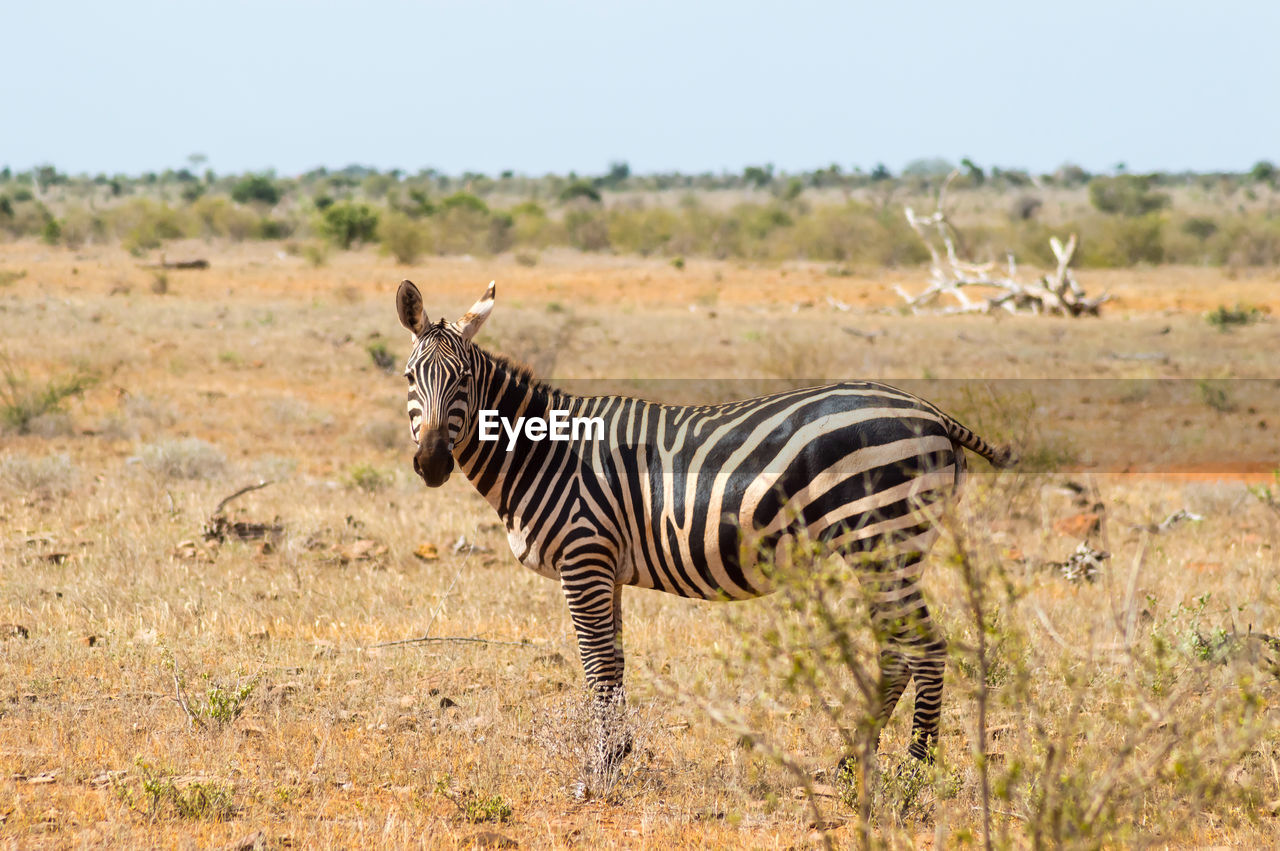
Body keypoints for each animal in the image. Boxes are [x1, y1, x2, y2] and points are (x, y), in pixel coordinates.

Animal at [394, 284, 1013, 767]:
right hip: (885, 551)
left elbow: (597, 666)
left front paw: (599, 769)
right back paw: (851, 761)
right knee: (898, 649)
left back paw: (915, 774)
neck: (548, 453)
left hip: (882, 542)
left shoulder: (584, 556)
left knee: (924, 648)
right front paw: (620, 755)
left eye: (464, 381)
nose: (432, 463)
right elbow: (615, 663)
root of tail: (931, 412)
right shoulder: (606, 567)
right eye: (408, 376)